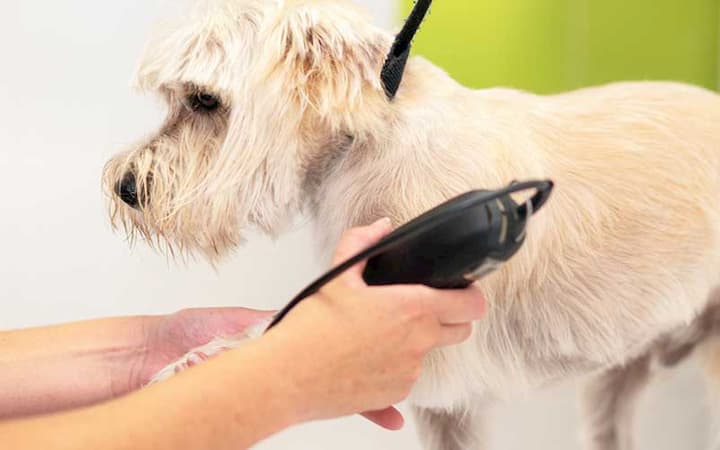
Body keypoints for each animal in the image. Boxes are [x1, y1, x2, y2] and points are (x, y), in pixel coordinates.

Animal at [104, 1, 720, 448]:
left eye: (204, 100)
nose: (126, 188)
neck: (362, 147)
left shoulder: (440, 364)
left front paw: (186, 369)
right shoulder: (441, 395)